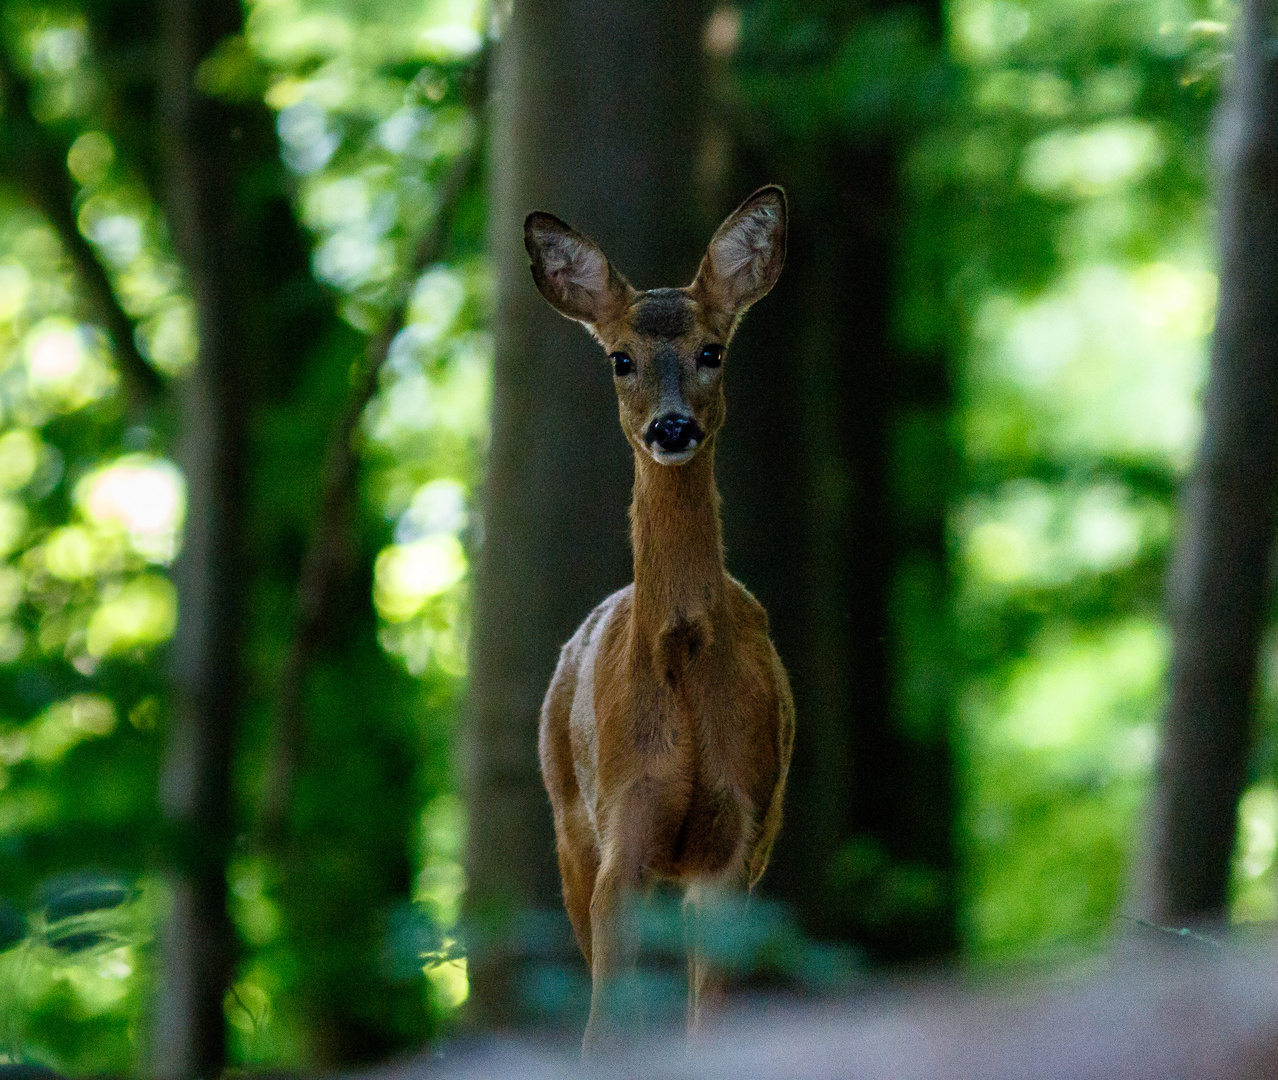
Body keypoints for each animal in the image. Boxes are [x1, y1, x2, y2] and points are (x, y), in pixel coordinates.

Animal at [523, 187, 792, 1053]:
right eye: (620, 358)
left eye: (713, 350)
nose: (672, 428)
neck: (679, 662)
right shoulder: (623, 831)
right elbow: (605, 1031)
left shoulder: (738, 835)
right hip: (568, 823)